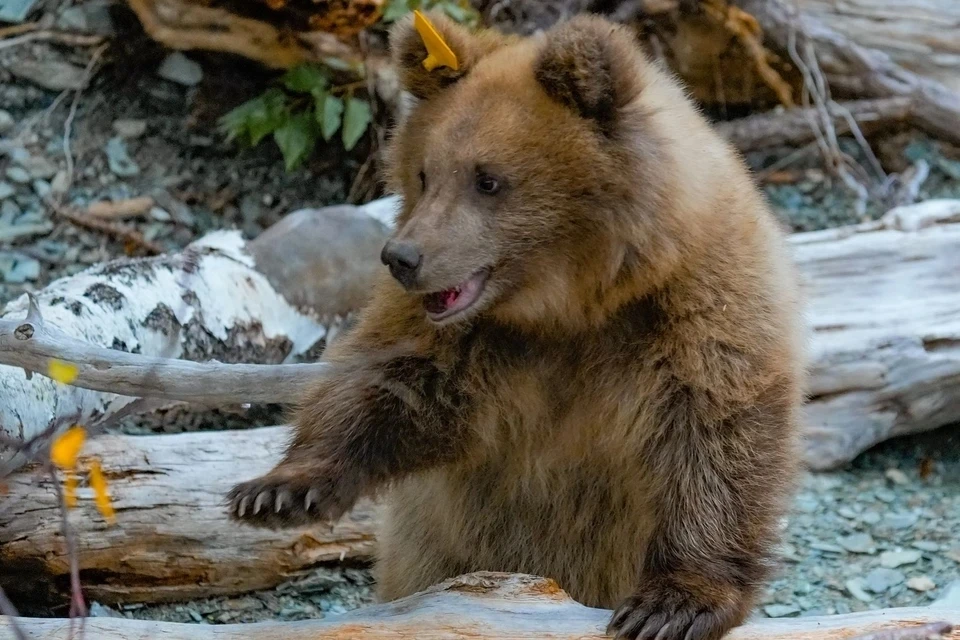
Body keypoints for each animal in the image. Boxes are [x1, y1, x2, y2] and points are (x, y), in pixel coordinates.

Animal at [227, 12, 805, 640]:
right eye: (424, 173)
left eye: (488, 179)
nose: (402, 257)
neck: (571, 305)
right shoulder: (465, 336)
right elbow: (388, 381)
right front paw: (276, 492)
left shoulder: (695, 306)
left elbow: (715, 430)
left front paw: (671, 605)